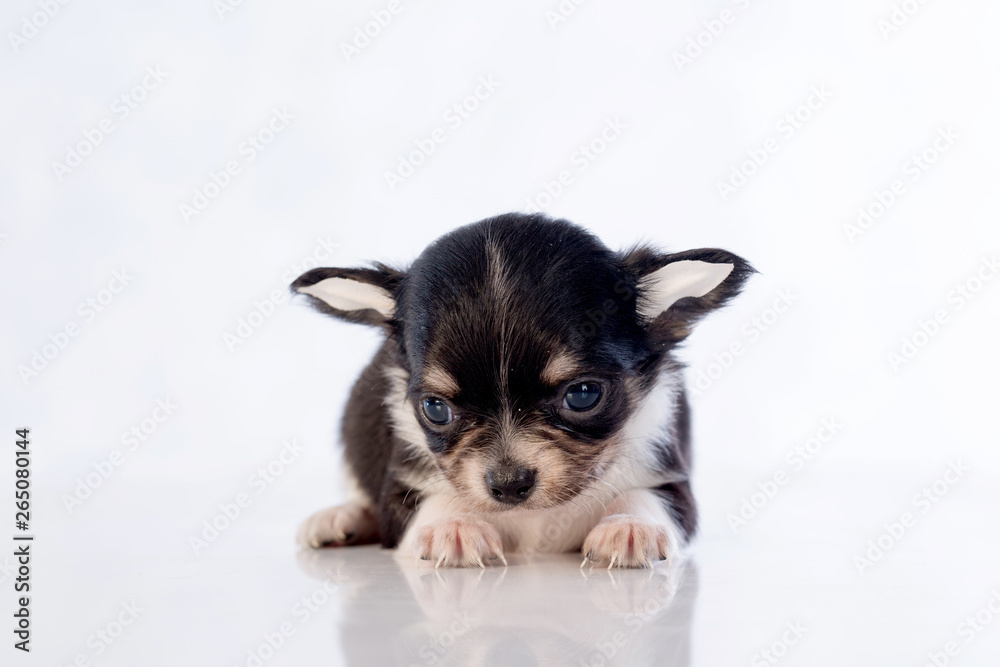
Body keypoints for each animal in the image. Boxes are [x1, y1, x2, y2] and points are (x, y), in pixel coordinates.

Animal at [292, 214, 752, 568]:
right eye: (435, 409)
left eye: (583, 395)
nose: (509, 483)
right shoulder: (401, 490)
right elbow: (429, 501)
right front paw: (453, 526)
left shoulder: (668, 475)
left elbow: (648, 497)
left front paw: (630, 526)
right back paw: (340, 518)